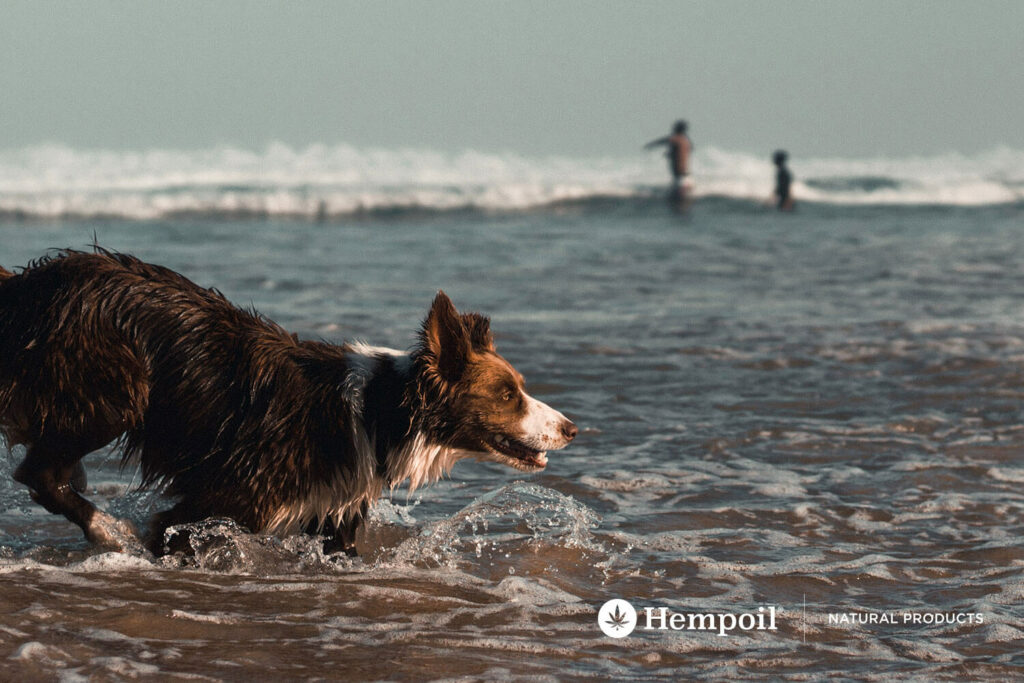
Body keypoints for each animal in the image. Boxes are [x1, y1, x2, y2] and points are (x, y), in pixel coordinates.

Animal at [0, 250, 577, 557]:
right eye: (507, 394)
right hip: (113, 391)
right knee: (37, 472)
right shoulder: (218, 499)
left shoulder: (333, 513)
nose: (571, 428)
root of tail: (32, 280)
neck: (377, 412)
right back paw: (107, 528)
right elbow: (166, 530)